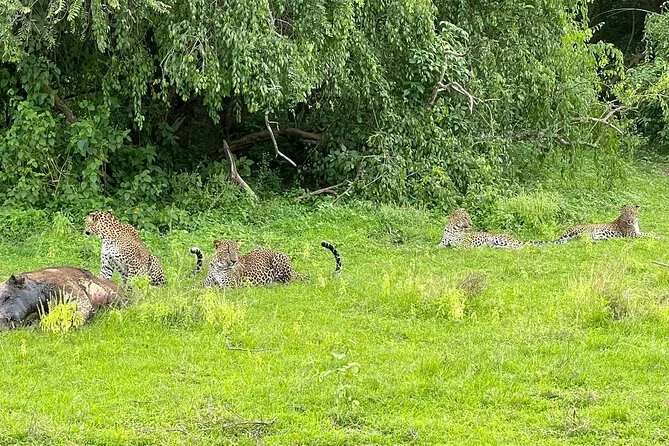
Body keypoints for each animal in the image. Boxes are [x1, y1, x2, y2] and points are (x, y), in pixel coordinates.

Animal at [189, 240, 342, 288]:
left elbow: (213, 289)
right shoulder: (208, 280)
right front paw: (188, 288)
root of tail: (294, 270)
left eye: (236, 251)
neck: (219, 266)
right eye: (227, 251)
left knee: (288, 281)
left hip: (279, 259)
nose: (234, 260)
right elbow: (197, 285)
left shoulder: (229, 285)